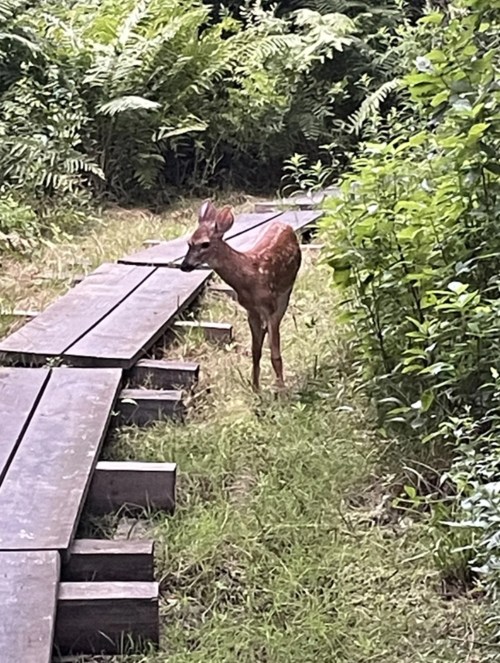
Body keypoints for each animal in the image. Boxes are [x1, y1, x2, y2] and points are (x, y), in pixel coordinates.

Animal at [180, 200, 302, 392]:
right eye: (189, 243)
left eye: (205, 244)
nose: (184, 266)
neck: (250, 277)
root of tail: (285, 224)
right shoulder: (250, 311)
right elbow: (255, 351)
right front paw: (255, 388)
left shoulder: (270, 307)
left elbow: (274, 353)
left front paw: (281, 389)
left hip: (286, 292)